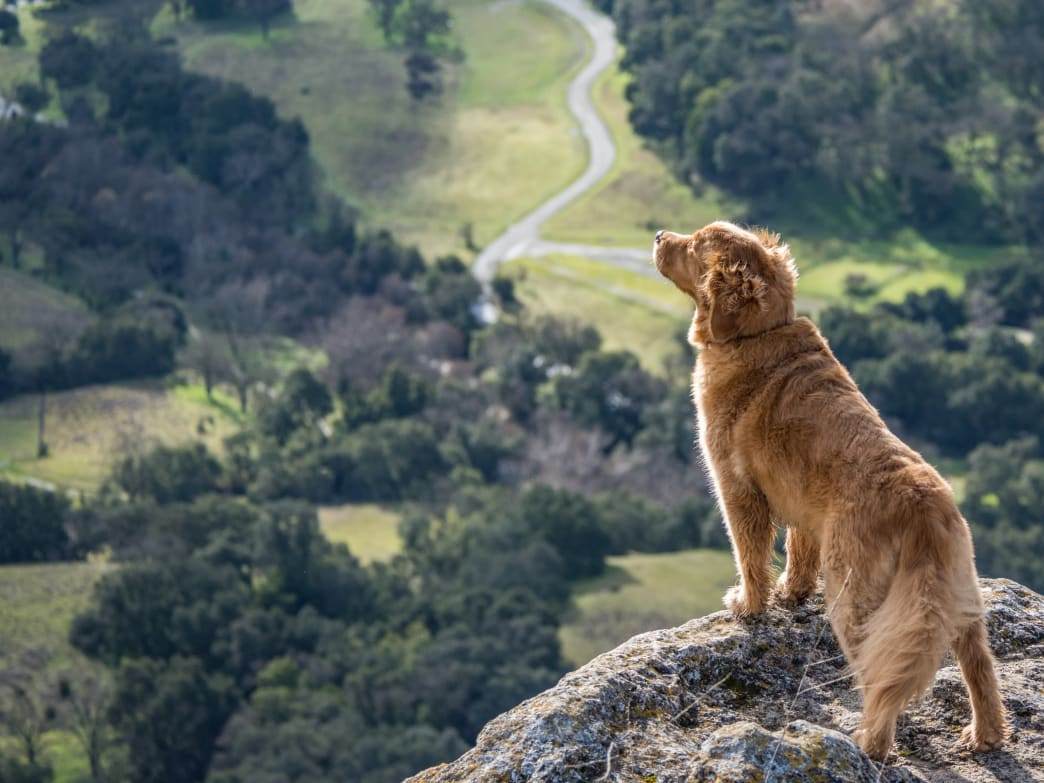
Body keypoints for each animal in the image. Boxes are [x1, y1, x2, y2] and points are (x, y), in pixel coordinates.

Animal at [655, 221, 1006, 760]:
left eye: (693, 244)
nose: (657, 236)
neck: (758, 332)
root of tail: (922, 504)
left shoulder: (737, 489)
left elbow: (750, 554)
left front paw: (749, 604)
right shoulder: (802, 504)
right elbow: (799, 552)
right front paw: (791, 593)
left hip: (854, 596)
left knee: (884, 677)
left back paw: (870, 743)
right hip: (959, 596)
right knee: (979, 668)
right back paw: (984, 734)